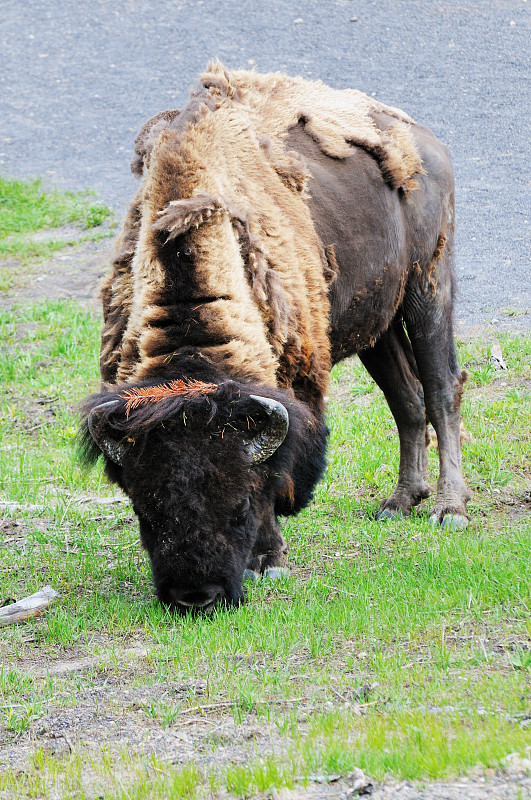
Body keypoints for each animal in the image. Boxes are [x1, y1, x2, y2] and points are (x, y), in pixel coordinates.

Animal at [79, 62, 470, 612]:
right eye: (142, 508)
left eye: (241, 502)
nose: (195, 597)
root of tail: (425, 139)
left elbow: (279, 463)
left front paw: (270, 560)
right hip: (377, 325)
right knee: (406, 400)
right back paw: (398, 502)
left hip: (428, 287)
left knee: (440, 389)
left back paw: (449, 508)